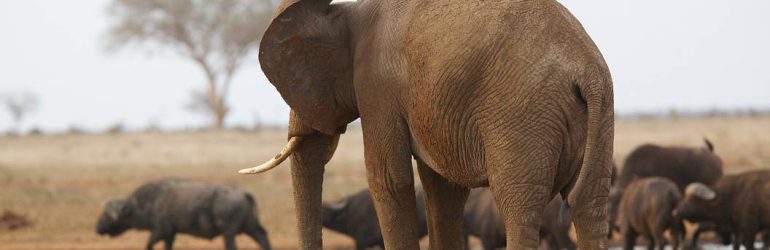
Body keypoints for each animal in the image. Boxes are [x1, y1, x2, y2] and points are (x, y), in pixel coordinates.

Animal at [96, 179, 270, 249]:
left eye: (106, 215)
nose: (97, 228)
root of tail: (243, 193)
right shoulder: (170, 235)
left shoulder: (161, 231)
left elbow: (149, 244)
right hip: (251, 227)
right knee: (263, 239)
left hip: (228, 233)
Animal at [240, 0, 612, 249]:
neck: (348, 13)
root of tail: (587, 74)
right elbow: (444, 192)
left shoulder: (378, 88)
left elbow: (389, 180)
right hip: (600, 114)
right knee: (590, 207)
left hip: (523, 117)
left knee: (520, 210)